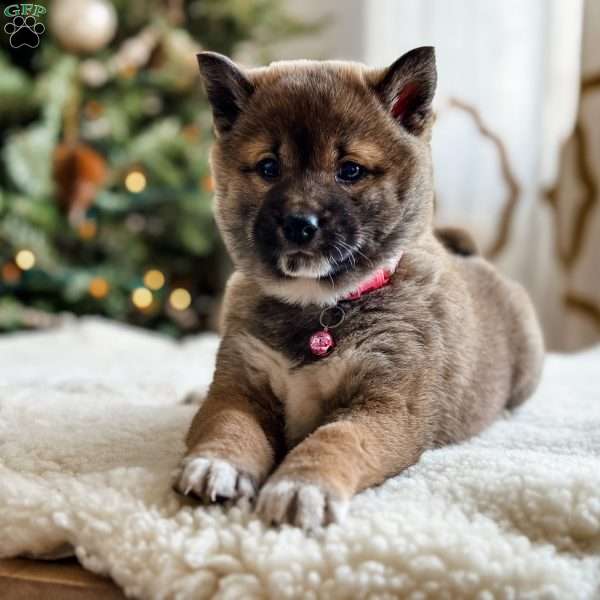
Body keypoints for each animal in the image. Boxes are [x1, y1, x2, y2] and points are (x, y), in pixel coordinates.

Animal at [173, 49, 544, 532]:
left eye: (350, 170)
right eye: (269, 167)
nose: (299, 224)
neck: (319, 308)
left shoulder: (387, 406)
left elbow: (336, 438)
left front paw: (302, 485)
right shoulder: (239, 386)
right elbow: (227, 423)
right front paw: (217, 462)